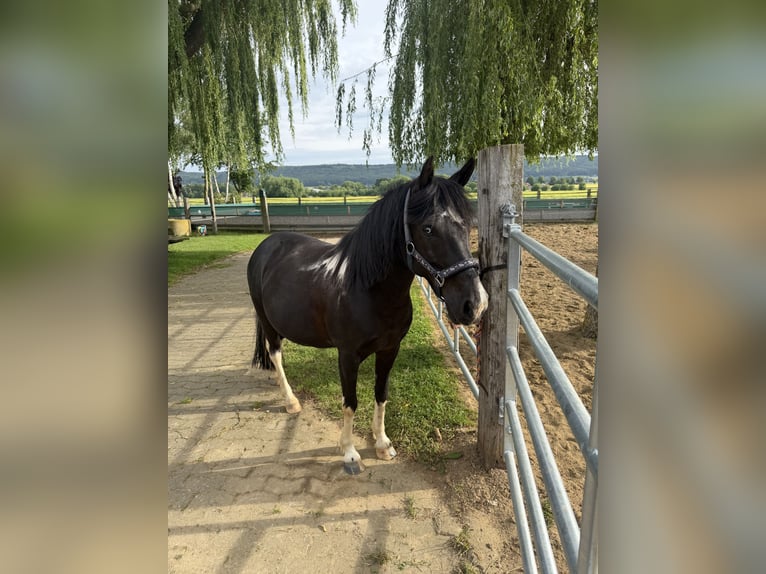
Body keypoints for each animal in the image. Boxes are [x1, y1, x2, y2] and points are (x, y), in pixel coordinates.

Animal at [246, 157, 488, 474]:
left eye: (468, 225)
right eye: (428, 228)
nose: (474, 304)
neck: (368, 290)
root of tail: (266, 246)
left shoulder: (389, 349)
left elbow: (381, 394)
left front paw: (382, 443)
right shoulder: (347, 355)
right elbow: (350, 401)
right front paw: (349, 452)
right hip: (267, 321)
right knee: (274, 354)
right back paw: (290, 401)